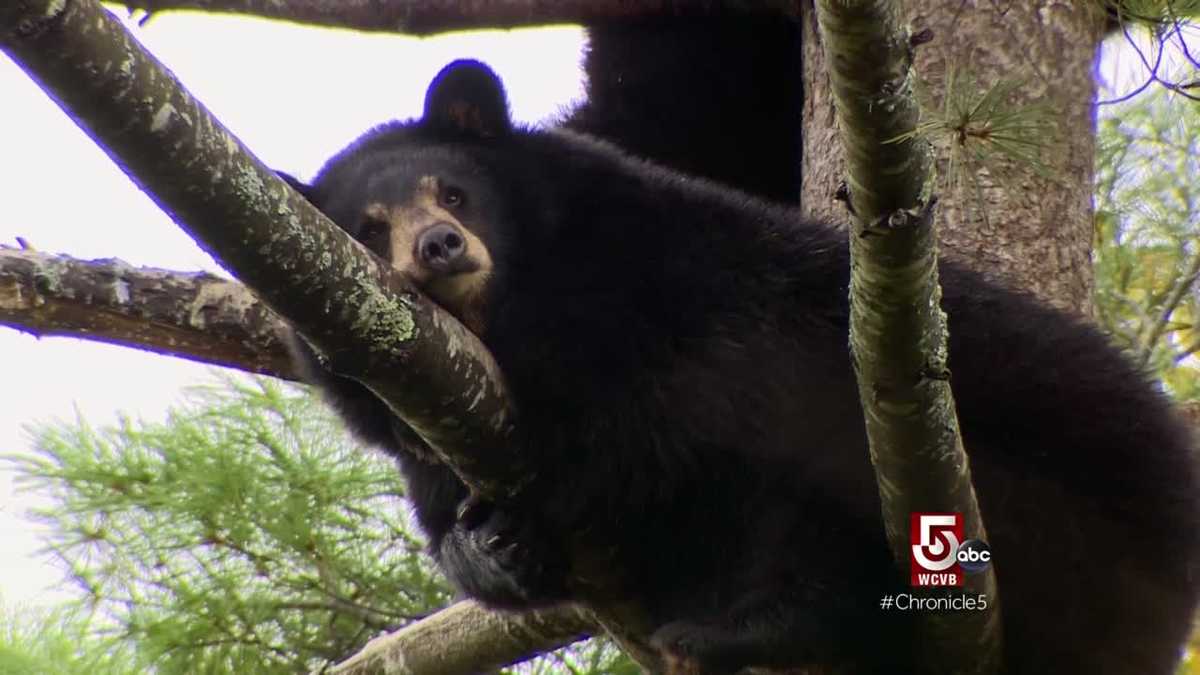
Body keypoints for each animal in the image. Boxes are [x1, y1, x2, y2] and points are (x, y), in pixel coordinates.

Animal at [283, 59, 1200, 672]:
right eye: (369, 227)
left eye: (453, 192)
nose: (441, 246)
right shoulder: (417, 423)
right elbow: (446, 505)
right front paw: (489, 546)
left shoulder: (656, 283)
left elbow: (644, 419)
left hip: (1026, 488)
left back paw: (744, 627)